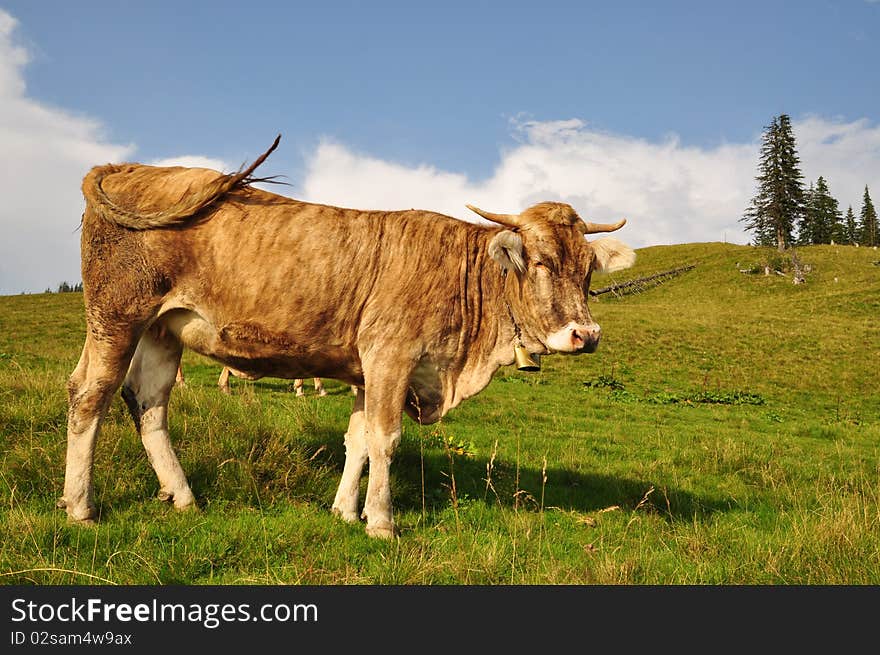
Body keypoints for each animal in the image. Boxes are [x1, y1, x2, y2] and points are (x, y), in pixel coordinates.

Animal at [63, 137, 640, 540]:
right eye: (540, 262)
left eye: (588, 267)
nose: (586, 334)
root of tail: (132, 166)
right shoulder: (391, 356)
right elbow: (385, 439)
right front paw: (381, 522)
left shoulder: (366, 369)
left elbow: (357, 439)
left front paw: (344, 511)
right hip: (116, 315)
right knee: (90, 394)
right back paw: (81, 507)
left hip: (163, 327)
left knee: (148, 401)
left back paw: (182, 496)